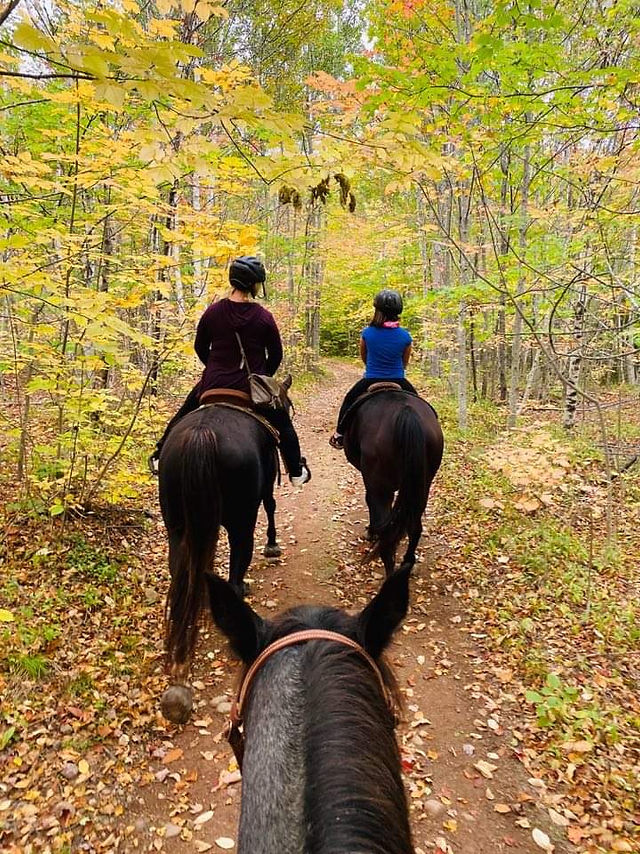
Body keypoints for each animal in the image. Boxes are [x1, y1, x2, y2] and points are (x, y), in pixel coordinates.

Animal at [157, 402, 280, 724]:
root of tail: (202, 436)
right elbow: (271, 505)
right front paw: (272, 544)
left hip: (177, 524)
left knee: (181, 568)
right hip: (241, 519)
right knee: (240, 555)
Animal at [342, 392, 442, 580]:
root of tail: (407, 413)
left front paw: (371, 532)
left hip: (380, 488)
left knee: (386, 533)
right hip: (423, 485)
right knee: (414, 527)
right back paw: (406, 563)